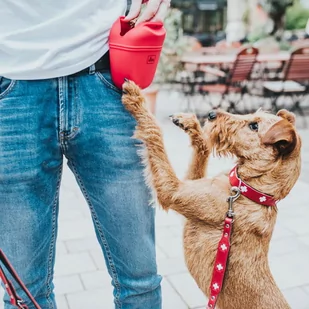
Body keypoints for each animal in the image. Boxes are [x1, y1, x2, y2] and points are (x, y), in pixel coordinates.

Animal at [121, 80, 300, 308]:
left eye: (254, 126)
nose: (211, 114)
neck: (251, 190)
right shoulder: (190, 186)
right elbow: (203, 150)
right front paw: (191, 125)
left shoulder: (174, 190)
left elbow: (155, 133)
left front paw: (136, 99)